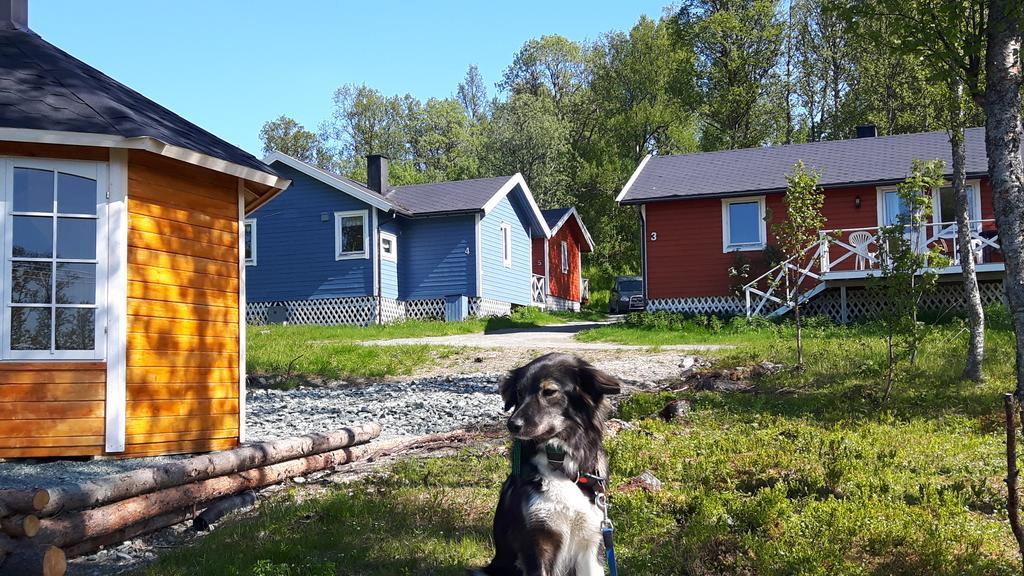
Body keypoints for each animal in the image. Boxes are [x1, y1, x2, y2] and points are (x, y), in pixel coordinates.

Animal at [468, 350, 618, 573]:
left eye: (549, 392)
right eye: (519, 393)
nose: (512, 425)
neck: (559, 462)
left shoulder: (591, 545)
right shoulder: (537, 543)